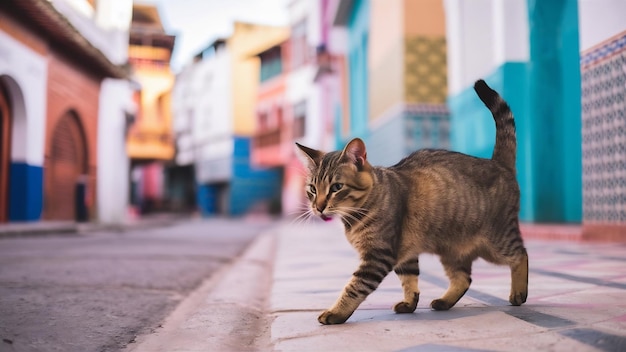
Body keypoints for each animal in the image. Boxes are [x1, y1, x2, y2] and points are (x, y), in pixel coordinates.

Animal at [298, 79, 528, 324]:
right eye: (312, 189)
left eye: (336, 188)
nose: (318, 207)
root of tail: (498, 163)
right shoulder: (404, 254)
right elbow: (409, 280)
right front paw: (410, 303)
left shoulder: (378, 255)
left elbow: (354, 287)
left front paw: (336, 312)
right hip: (452, 251)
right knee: (463, 278)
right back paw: (444, 301)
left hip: (497, 241)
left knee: (521, 254)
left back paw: (518, 293)